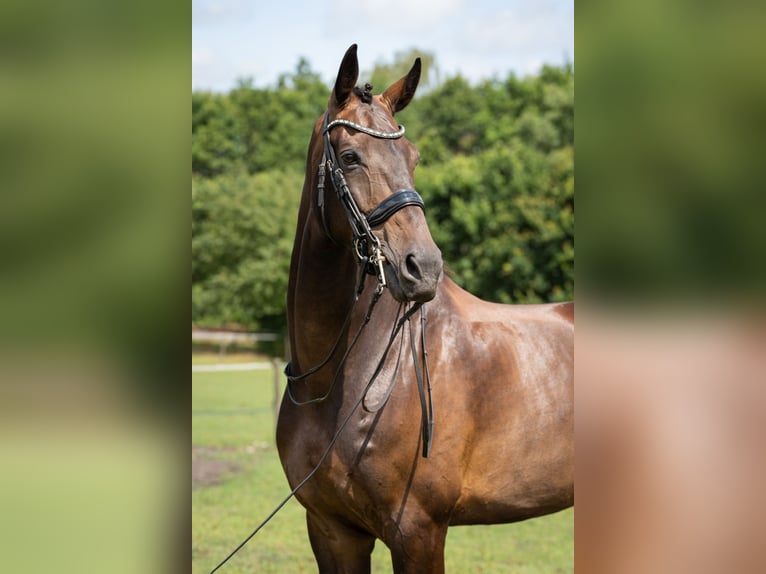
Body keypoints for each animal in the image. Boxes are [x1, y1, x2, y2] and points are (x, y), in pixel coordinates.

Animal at [276, 44, 573, 573]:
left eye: (413, 158)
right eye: (350, 157)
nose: (425, 267)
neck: (332, 382)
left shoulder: (418, 531)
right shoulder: (331, 532)